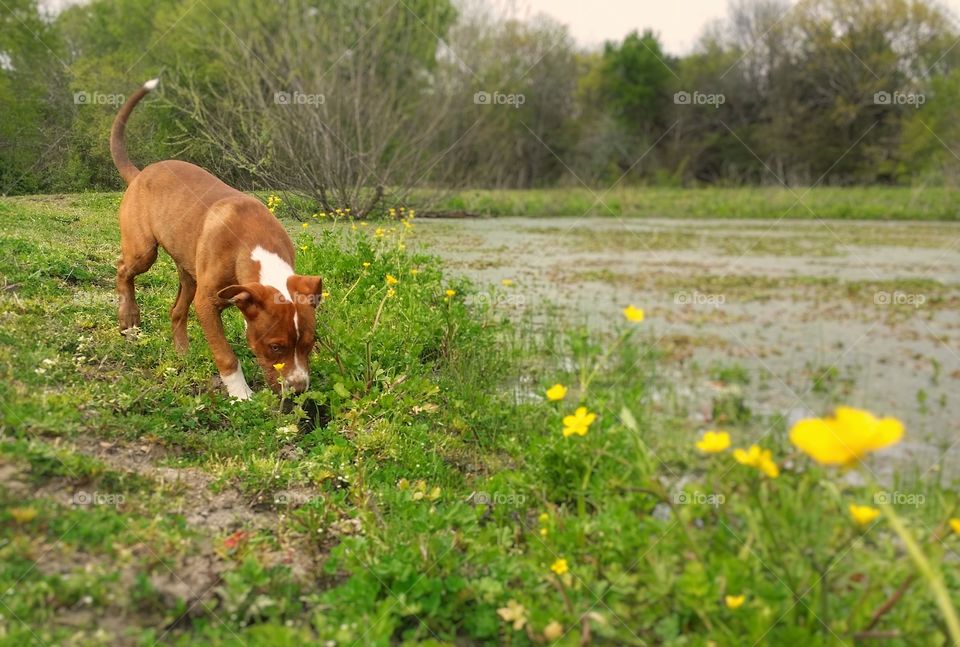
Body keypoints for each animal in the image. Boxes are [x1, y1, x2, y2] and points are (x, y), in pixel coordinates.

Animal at [111, 78, 322, 398]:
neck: (255, 244)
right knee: (123, 269)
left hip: (189, 273)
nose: (298, 390)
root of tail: (140, 173)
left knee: (176, 310)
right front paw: (241, 394)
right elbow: (226, 355)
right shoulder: (206, 303)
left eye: (310, 344)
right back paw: (129, 318)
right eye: (275, 347)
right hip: (143, 250)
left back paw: (182, 354)